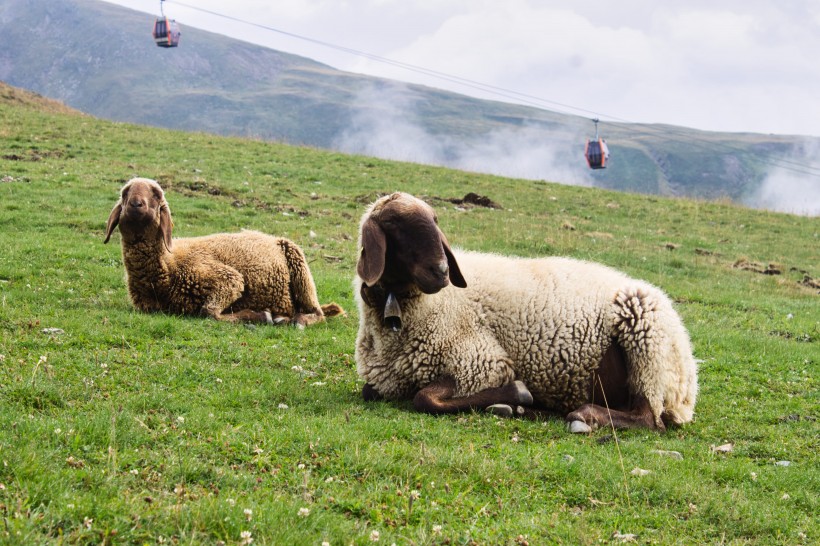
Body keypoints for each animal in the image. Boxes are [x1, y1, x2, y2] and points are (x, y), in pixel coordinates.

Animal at [104, 176, 344, 326]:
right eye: (125, 193)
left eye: (156, 194)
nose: (136, 204)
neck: (168, 265)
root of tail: (273, 238)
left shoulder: (228, 278)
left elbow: (209, 312)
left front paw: (259, 316)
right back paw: (283, 317)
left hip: (300, 270)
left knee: (317, 313)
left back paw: (296, 321)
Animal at [352, 191, 700, 430]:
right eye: (394, 224)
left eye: (435, 222)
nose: (441, 271)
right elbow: (370, 391)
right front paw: (517, 405)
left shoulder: (482, 362)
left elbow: (425, 398)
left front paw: (516, 396)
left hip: (648, 348)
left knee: (649, 418)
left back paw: (582, 414)